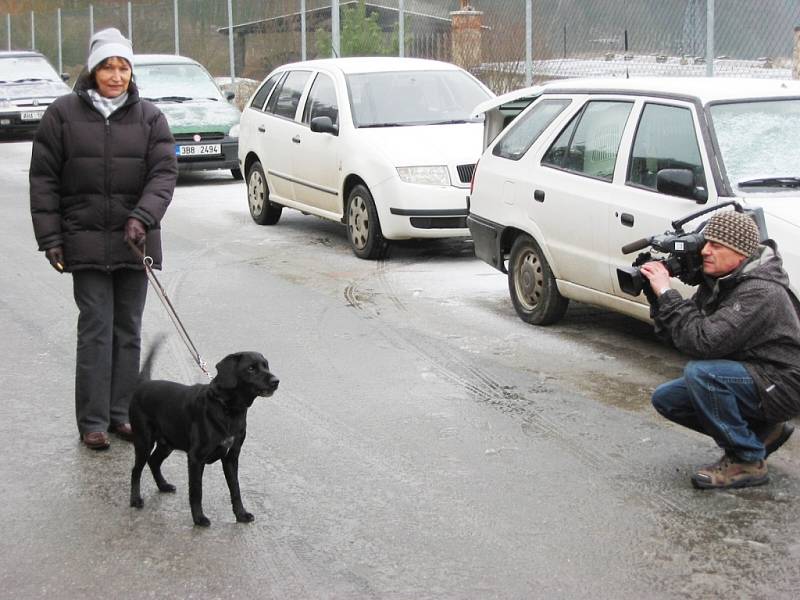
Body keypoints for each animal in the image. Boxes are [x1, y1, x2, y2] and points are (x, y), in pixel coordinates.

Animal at [130, 346, 280, 524]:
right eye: (251, 368)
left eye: (266, 365)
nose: (276, 381)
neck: (228, 410)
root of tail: (142, 385)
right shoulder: (196, 458)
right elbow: (196, 491)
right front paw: (199, 519)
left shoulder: (231, 457)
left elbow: (235, 489)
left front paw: (241, 514)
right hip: (144, 441)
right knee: (136, 470)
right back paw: (135, 500)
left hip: (167, 443)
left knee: (153, 461)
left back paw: (163, 486)